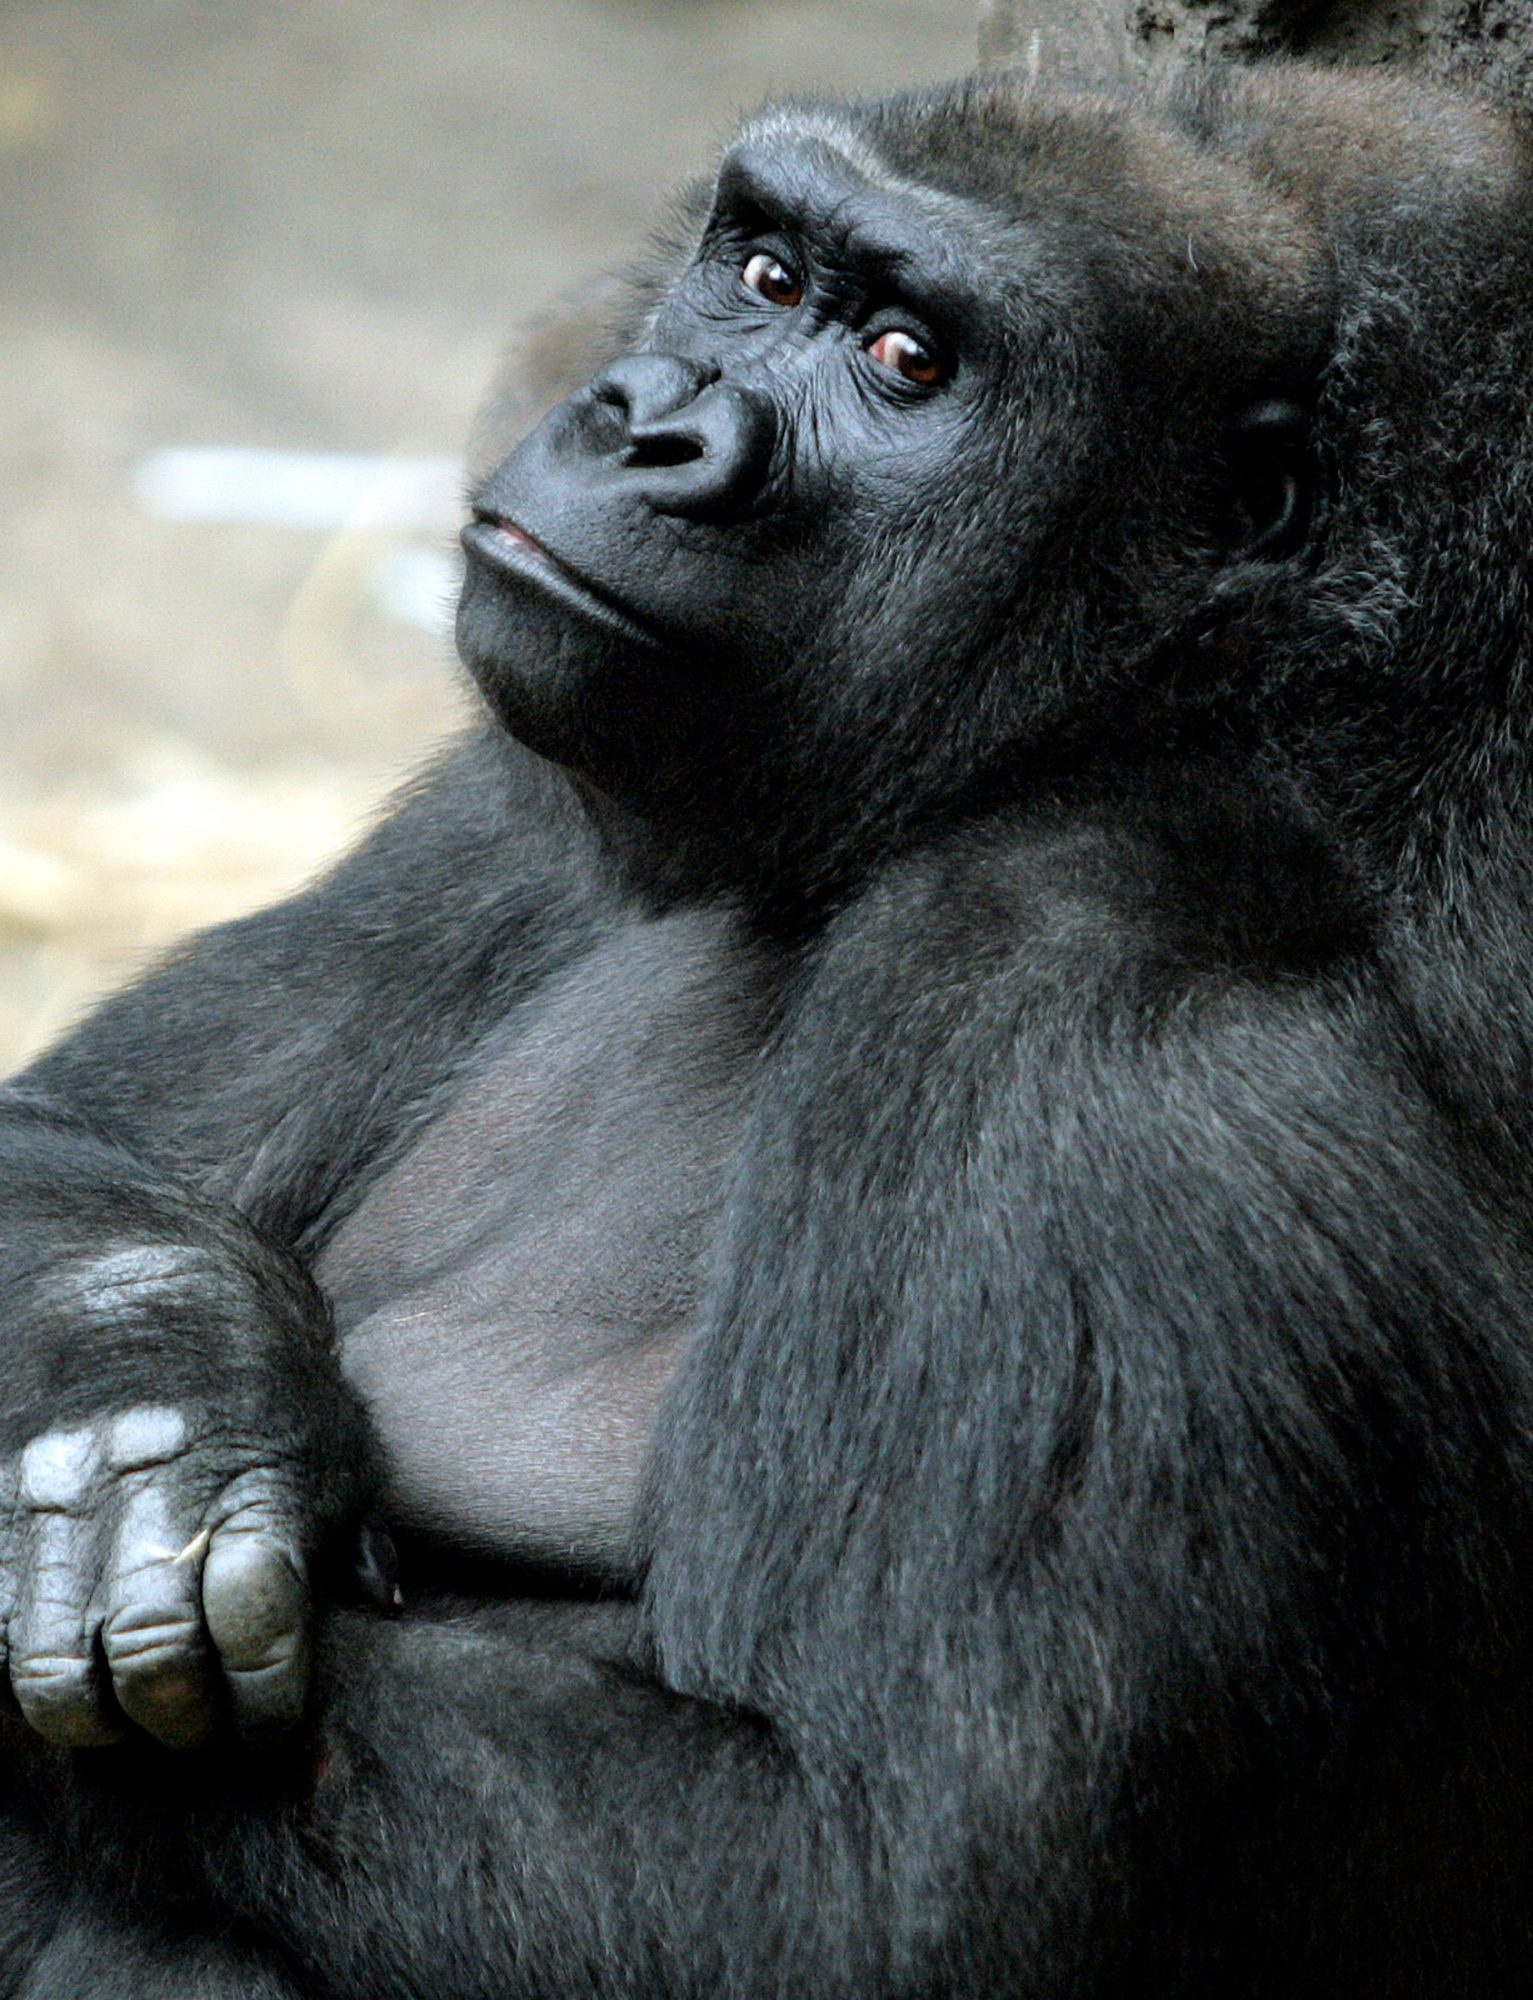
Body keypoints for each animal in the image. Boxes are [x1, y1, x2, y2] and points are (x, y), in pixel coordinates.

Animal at [0, 54, 1533, 1992]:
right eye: (765, 274)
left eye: (902, 359)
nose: (641, 416)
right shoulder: (554, 764)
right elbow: (72, 1132)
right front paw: (156, 1395)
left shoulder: (1091, 978)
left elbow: (839, 1873)